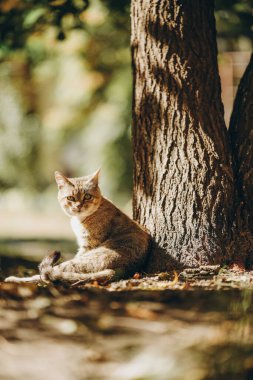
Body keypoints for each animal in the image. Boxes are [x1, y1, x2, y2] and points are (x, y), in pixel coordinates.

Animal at [4, 170, 150, 284]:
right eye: (71, 198)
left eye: (87, 196)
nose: (79, 206)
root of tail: (125, 269)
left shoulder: (86, 246)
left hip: (82, 261)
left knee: (45, 275)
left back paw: (14, 279)